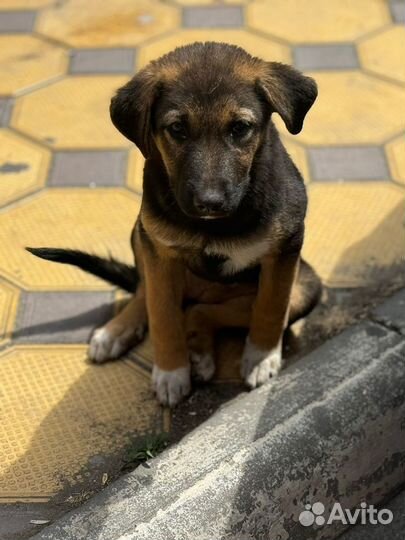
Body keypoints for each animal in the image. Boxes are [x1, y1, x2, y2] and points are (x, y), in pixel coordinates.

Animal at [26, 42, 320, 404]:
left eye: (239, 128)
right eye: (177, 129)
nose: (209, 202)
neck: (213, 226)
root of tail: (202, 290)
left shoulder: (286, 250)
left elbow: (271, 306)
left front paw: (262, 357)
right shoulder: (159, 250)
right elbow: (163, 316)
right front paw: (170, 372)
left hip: (305, 287)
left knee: (202, 310)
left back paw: (200, 351)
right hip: (140, 233)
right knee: (149, 291)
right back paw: (119, 331)